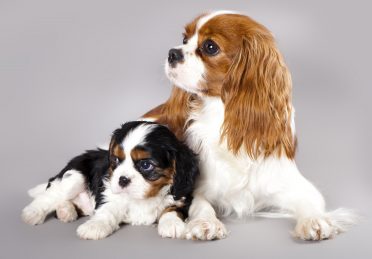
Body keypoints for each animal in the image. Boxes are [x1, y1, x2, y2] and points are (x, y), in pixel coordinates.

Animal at [21, 121, 199, 241]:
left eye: (146, 165)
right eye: (116, 160)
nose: (122, 180)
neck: (145, 197)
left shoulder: (182, 195)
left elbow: (172, 209)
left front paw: (171, 224)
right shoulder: (109, 193)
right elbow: (106, 211)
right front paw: (94, 226)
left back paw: (66, 211)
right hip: (74, 175)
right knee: (51, 195)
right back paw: (33, 213)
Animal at [143, 10, 358, 242]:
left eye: (210, 46)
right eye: (184, 39)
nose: (172, 53)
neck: (222, 116)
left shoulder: (292, 183)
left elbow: (310, 200)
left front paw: (314, 221)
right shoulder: (198, 187)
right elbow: (200, 205)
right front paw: (206, 223)